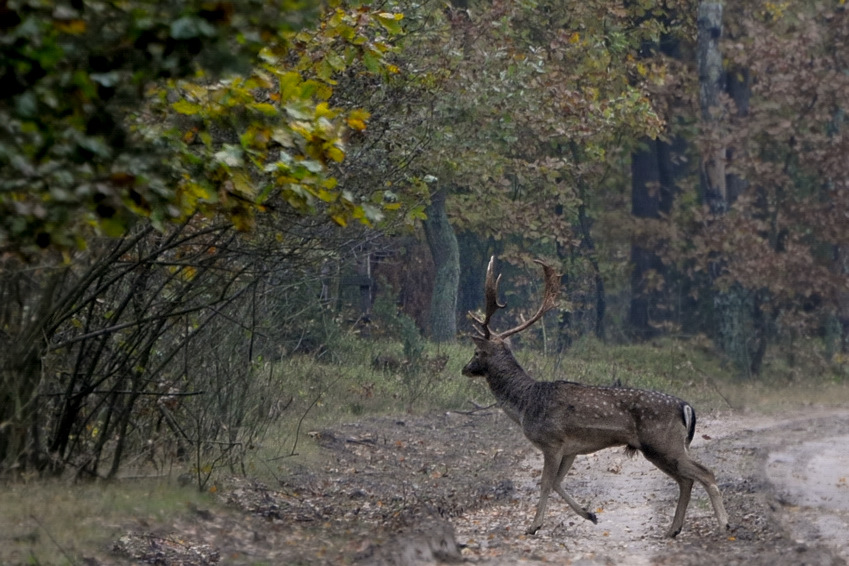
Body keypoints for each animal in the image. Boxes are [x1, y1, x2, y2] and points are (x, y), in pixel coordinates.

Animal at [458, 258, 728, 540]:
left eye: (476, 352)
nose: (465, 368)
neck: (525, 405)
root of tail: (685, 407)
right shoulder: (571, 449)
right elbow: (557, 482)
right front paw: (590, 515)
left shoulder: (552, 442)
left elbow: (545, 483)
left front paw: (533, 526)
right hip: (661, 448)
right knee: (686, 479)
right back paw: (673, 529)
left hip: (663, 442)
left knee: (705, 473)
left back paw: (723, 524)